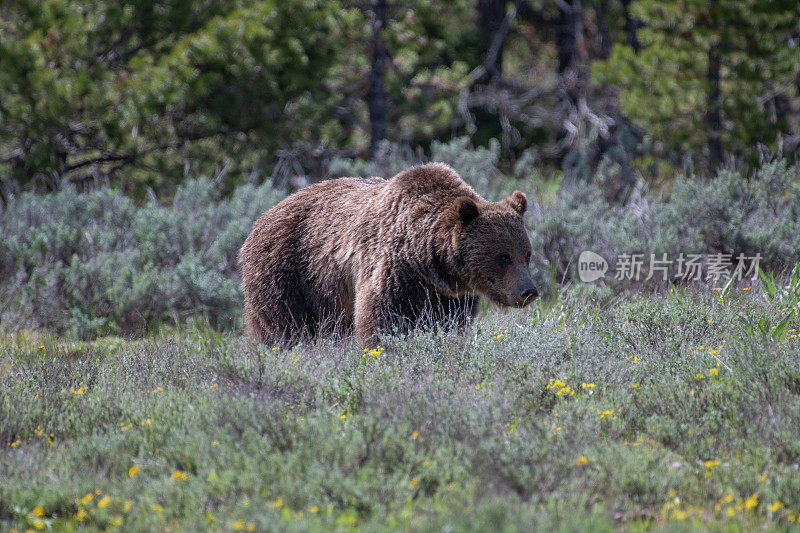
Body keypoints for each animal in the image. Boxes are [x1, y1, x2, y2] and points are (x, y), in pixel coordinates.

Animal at [238, 162, 536, 348]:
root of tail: (259, 220)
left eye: (527, 254)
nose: (528, 291)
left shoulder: (446, 295)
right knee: (282, 326)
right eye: (503, 256)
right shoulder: (392, 268)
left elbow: (446, 323)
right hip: (288, 273)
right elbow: (382, 319)